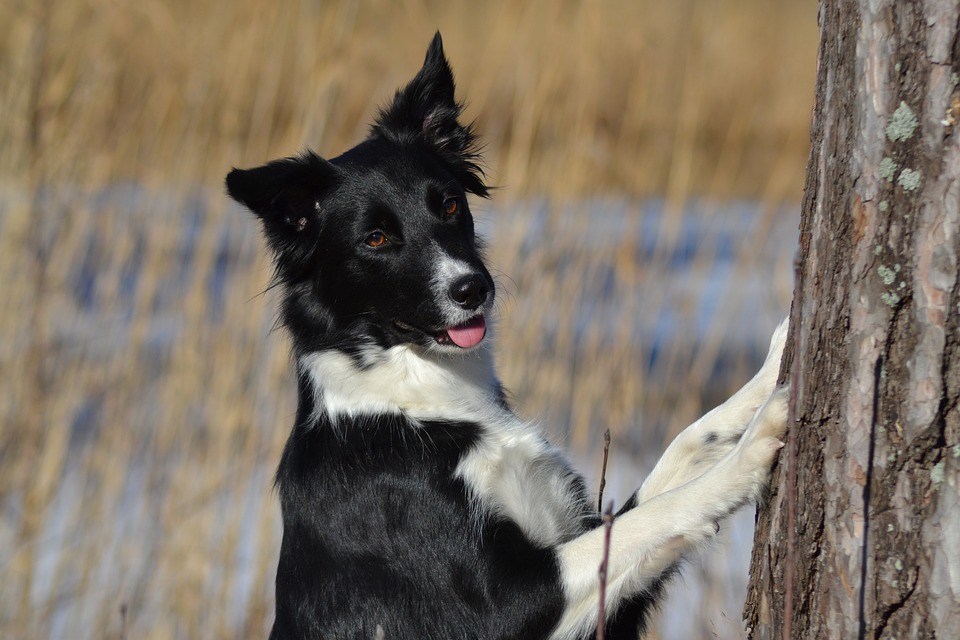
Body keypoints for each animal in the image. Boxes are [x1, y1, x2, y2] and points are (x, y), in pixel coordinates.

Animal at [227, 33, 788, 640]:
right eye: (375, 238)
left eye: (450, 204)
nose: (473, 288)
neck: (419, 396)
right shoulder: (499, 609)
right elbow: (651, 517)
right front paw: (750, 454)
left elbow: (680, 452)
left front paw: (770, 373)